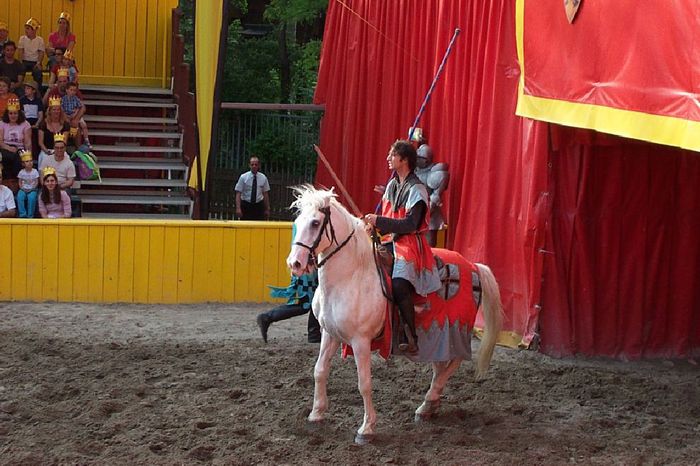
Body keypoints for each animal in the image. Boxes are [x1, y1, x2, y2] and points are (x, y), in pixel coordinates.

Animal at [286, 185, 504, 444]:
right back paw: (428, 406)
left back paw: (429, 399)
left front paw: (367, 428)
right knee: (440, 367)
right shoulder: (330, 334)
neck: (350, 276)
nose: (295, 263)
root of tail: (472, 266)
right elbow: (319, 371)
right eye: (297, 222)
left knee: (455, 362)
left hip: (456, 330)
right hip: (441, 338)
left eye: (315, 223)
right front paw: (316, 413)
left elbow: (364, 383)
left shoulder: (360, 341)